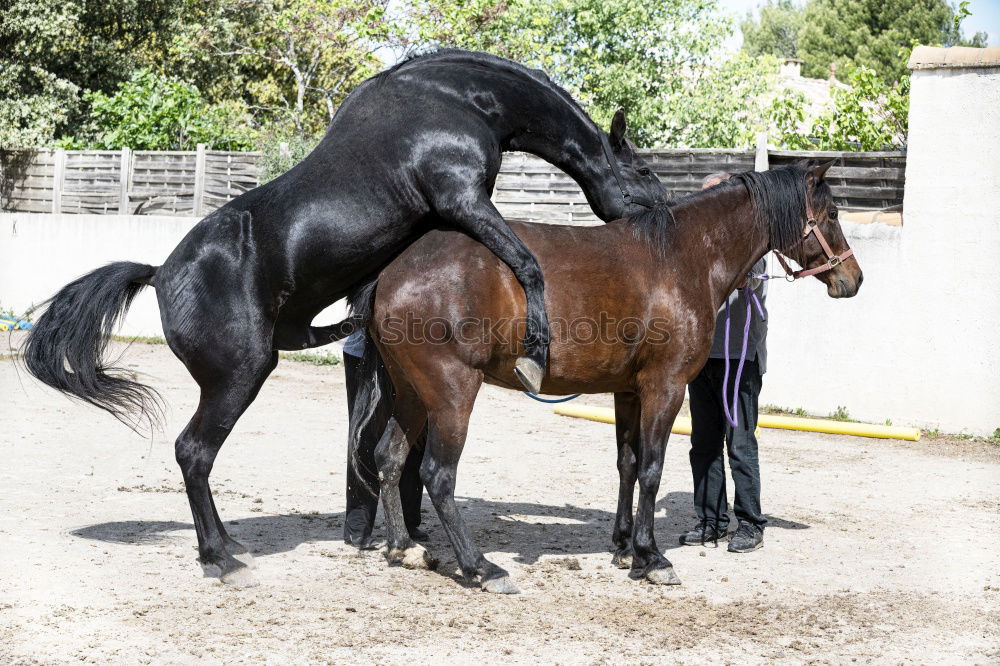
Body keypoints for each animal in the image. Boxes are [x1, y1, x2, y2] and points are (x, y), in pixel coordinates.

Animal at [21, 49, 664, 584]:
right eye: (645, 172)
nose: (659, 215)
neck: (454, 98)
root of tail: (159, 273)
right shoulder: (464, 200)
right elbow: (527, 264)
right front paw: (535, 351)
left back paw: (231, 545)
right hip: (240, 377)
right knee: (193, 452)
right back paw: (220, 559)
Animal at [352, 162, 860, 592]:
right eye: (834, 213)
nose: (853, 279)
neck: (683, 255)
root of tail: (393, 272)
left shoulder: (628, 391)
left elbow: (628, 464)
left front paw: (624, 547)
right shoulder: (665, 388)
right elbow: (652, 469)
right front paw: (651, 558)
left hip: (412, 394)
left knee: (389, 457)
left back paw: (404, 549)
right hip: (451, 394)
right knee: (437, 475)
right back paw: (481, 568)